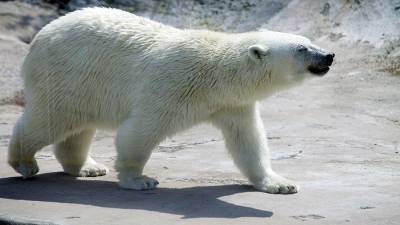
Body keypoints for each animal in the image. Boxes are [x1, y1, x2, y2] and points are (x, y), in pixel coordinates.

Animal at [8, 7, 334, 193]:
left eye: (310, 42)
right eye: (302, 48)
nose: (329, 55)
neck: (217, 73)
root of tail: (40, 34)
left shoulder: (232, 104)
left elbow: (248, 142)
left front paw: (280, 183)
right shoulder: (172, 85)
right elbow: (139, 131)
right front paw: (139, 180)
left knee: (77, 127)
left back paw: (87, 167)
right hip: (67, 74)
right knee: (51, 120)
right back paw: (25, 163)